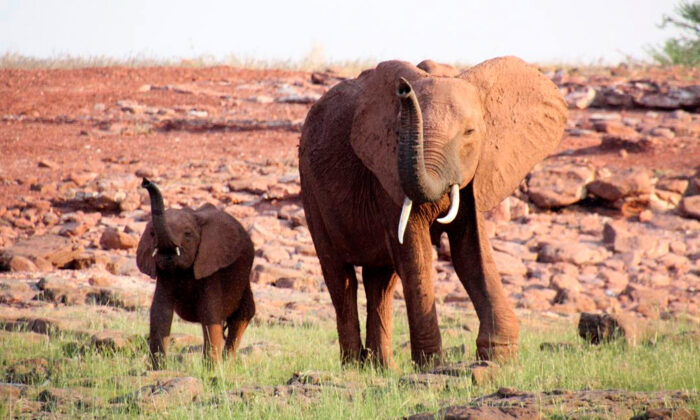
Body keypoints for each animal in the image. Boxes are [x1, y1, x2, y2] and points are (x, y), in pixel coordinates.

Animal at [136, 178, 255, 368]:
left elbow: (210, 313)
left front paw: (212, 370)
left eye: (188, 234)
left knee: (242, 316)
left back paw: (227, 364)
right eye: (152, 234)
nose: (145, 182)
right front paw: (157, 369)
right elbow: (160, 312)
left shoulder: (211, 266)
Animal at [298, 56, 567, 368]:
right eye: (398, 133)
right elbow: (416, 253)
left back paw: (380, 367)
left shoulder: (476, 175)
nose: (404, 89)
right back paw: (355, 366)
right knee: (340, 277)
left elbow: (471, 252)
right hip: (310, 190)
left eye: (469, 133)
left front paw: (500, 357)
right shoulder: (387, 175)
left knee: (381, 282)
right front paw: (433, 364)